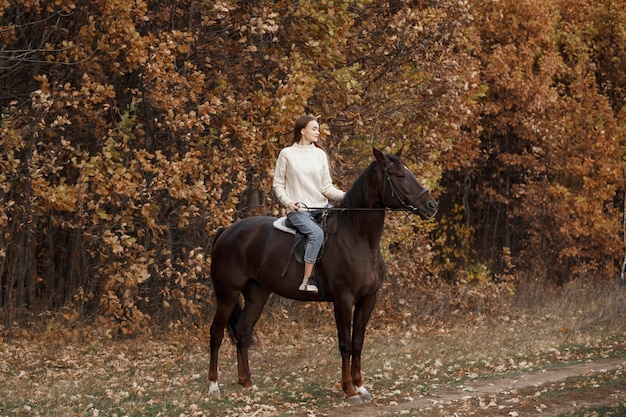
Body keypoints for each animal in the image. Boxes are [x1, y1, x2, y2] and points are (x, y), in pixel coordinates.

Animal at [207, 147, 436, 404]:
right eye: (400, 176)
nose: (431, 205)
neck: (357, 237)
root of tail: (227, 231)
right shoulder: (343, 300)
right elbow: (345, 343)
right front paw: (349, 390)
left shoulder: (368, 299)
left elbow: (358, 342)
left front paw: (361, 386)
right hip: (227, 294)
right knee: (216, 333)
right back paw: (213, 386)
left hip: (257, 293)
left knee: (243, 332)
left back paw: (247, 383)